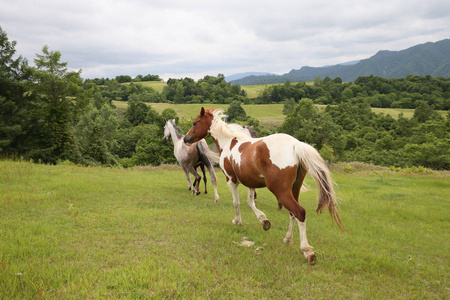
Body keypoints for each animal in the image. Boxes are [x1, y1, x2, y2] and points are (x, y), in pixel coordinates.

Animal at [184, 107, 344, 264]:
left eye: (195, 123)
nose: (186, 139)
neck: (230, 143)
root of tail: (295, 145)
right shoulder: (250, 182)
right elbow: (250, 202)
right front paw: (264, 221)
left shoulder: (231, 180)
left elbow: (237, 202)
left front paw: (237, 221)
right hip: (294, 189)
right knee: (292, 214)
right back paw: (287, 239)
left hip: (281, 191)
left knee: (299, 212)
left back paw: (307, 251)